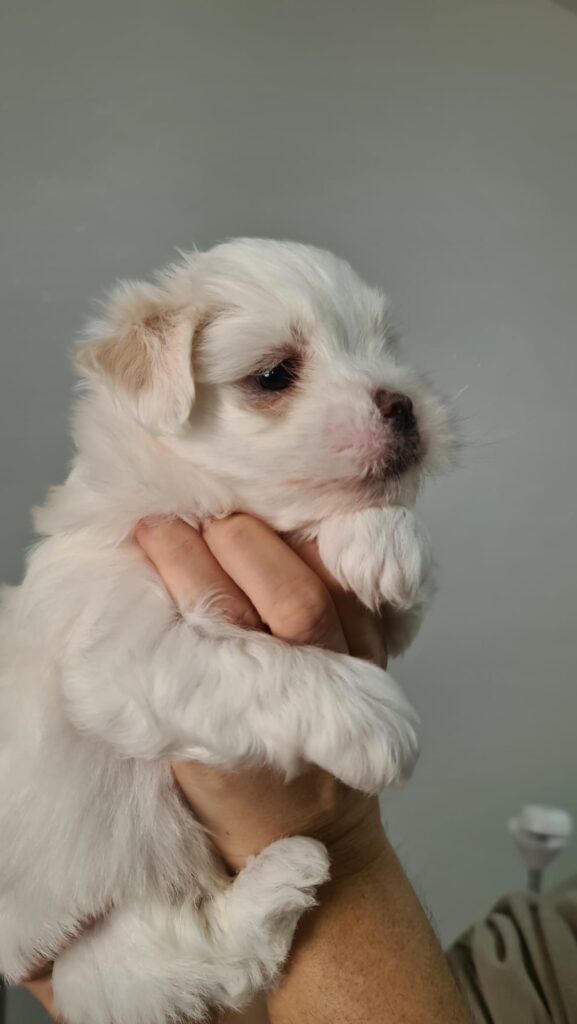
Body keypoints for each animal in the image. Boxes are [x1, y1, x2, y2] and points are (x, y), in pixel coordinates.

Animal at [0, 241, 452, 1024]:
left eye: (384, 347)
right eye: (273, 375)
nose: (403, 403)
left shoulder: (374, 618)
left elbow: (388, 584)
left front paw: (386, 540)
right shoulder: (124, 651)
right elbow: (256, 662)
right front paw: (371, 717)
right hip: (91, 948)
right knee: (199, 964)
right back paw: (283, 875)